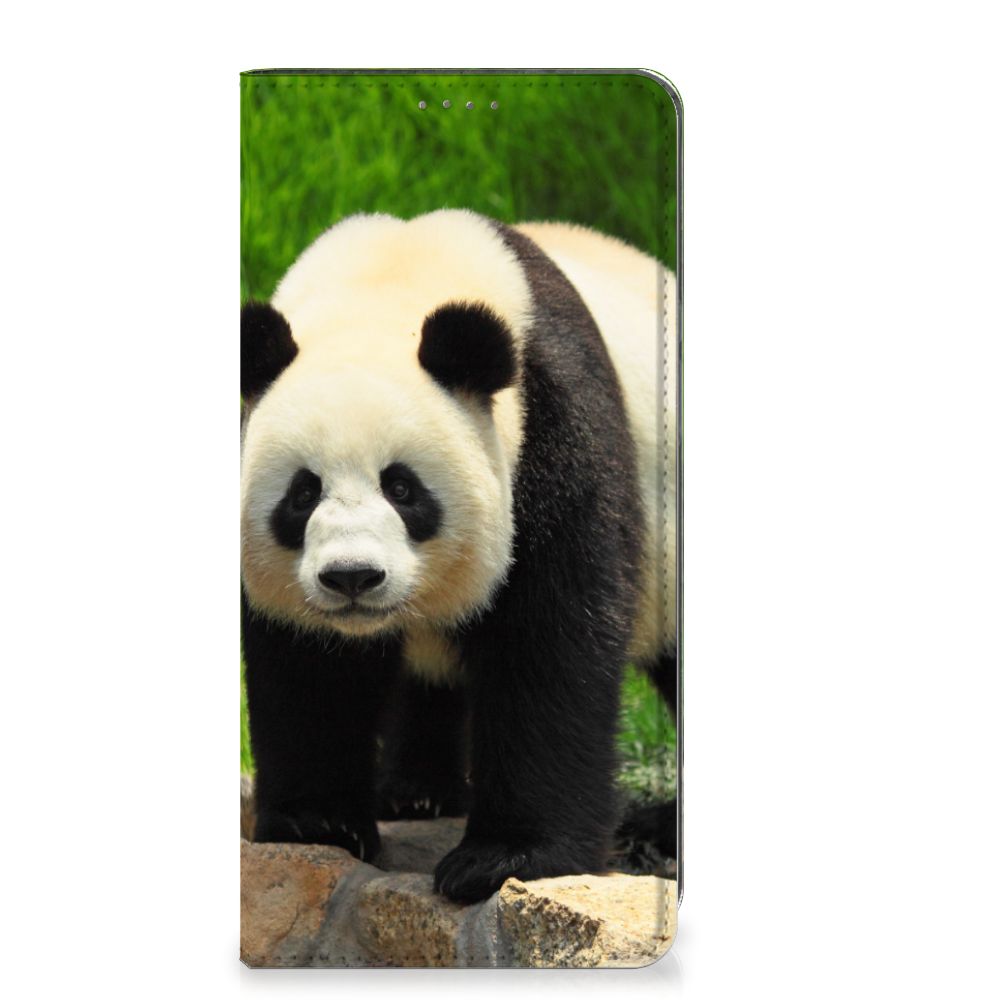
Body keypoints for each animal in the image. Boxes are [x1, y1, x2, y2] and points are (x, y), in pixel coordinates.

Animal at [240, 209, 678, 903]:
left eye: (402, 488)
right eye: (302, 493)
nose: (352, 578)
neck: (388, 282)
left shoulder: (553, 429)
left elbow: (550, 641)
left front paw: (504, 858)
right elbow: (306, 664)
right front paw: (318, 823)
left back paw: (658, 830)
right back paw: (416, 792)